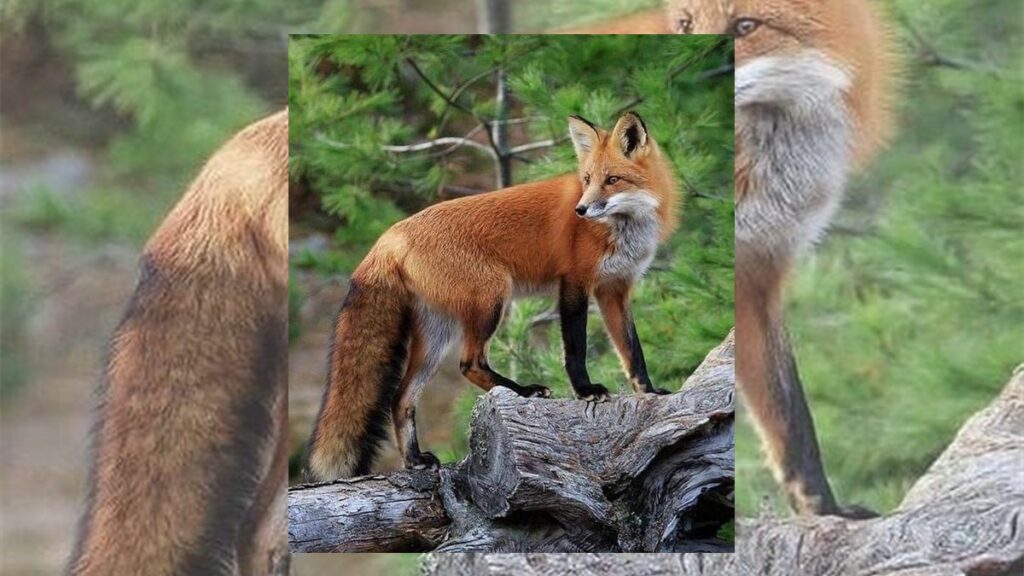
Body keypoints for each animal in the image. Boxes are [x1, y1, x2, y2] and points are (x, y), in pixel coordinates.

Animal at [305, 111, 680, 481]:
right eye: (587, 179)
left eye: (613, 179)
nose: (581, 210)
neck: (624, 227)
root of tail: (390, 236)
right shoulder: (575, 283)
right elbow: (576, 348)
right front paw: (585, 391)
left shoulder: (614, 289)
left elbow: (632, 351)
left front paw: (650, 392)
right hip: (492, 299)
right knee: (469, 363)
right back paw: (523, 391)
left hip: (438, 334)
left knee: (401, 398)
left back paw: (414, 459)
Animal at [665, 0, 898, 518]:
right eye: (687, 25)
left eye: (745, 26)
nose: (673, 75)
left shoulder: (760, 274)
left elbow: (791, 419)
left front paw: (824, 512)